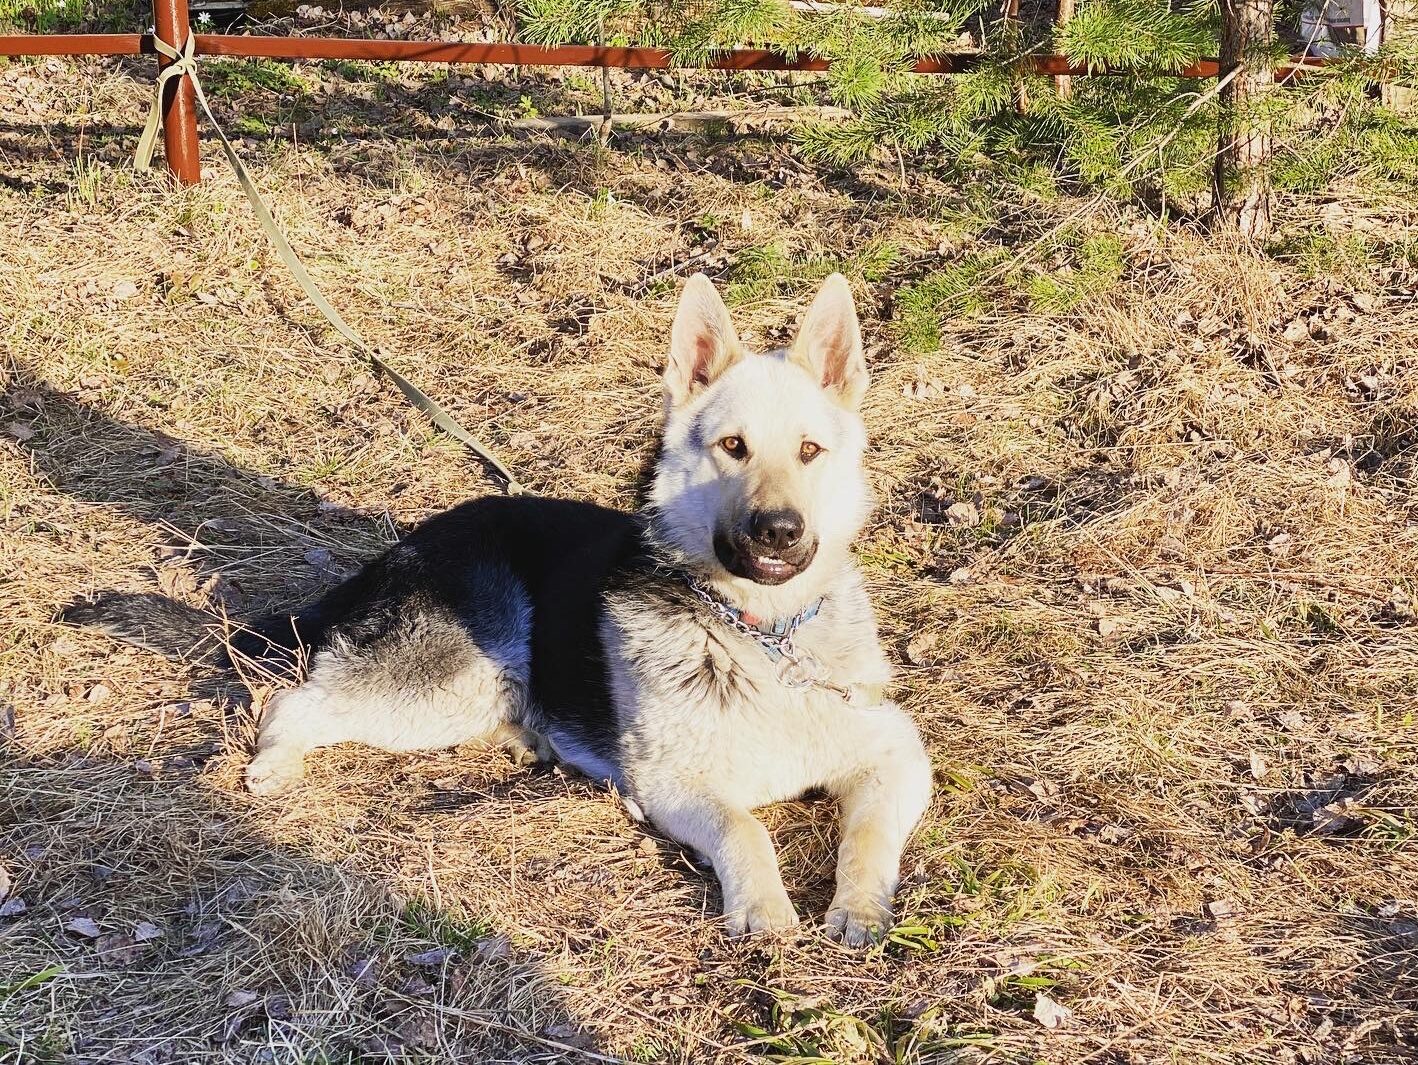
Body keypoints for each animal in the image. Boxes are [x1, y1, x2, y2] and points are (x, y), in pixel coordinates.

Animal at [66, 270, 935, 947]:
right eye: (732, 448)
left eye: (811, 451)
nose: (780, 530)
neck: (762, 629)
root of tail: (414, 538)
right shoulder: (677, 782)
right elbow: (745, 826)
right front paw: (763, 905)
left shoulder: (896, 755)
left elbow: (867, 835)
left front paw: (860, 907)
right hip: (455, 679)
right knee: (296, 699)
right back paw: (277, 761)